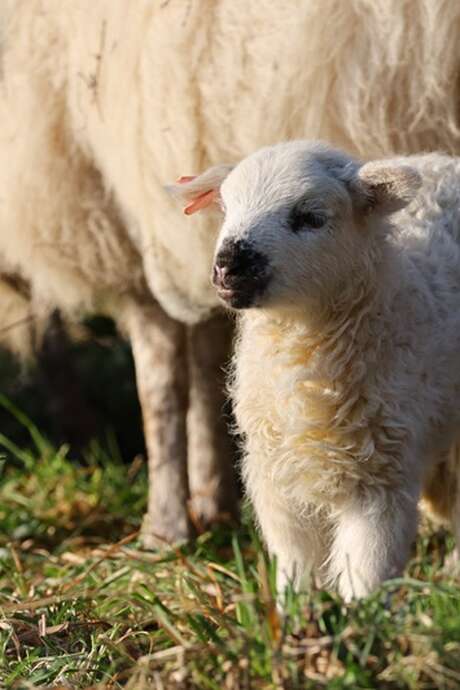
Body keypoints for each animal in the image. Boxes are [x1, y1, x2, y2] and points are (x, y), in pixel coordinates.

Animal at [3, 0, 460, 546]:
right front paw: (211, 499)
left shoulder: (136, 172)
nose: (230, 265)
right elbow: (203, 357)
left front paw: (166, 524)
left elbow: (161, 377)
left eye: (311, 216)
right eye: (226, 206)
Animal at [173, 140, 460, 600]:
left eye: (310, 217)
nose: (229, 264)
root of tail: (443, 160)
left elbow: (366, 569)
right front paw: (296, 611)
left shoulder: (380, 477)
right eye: (226, 207)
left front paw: (359, 616)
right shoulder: (275, 474)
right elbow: (297, 562)